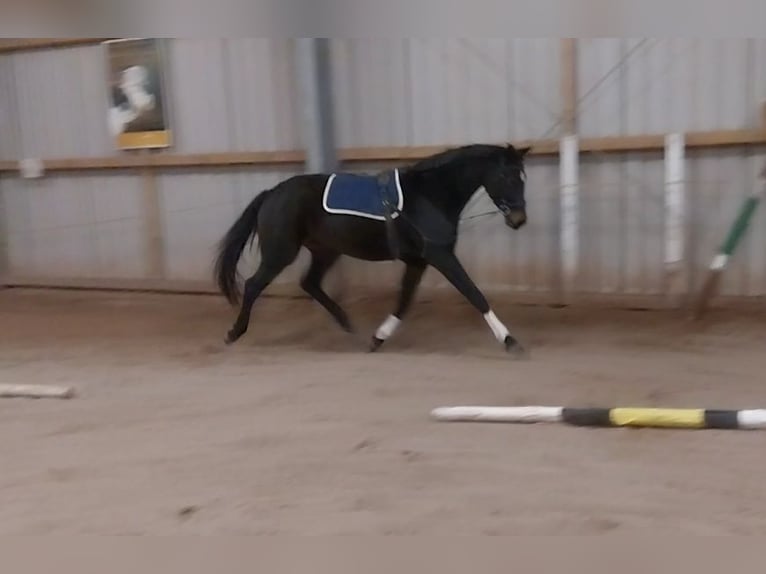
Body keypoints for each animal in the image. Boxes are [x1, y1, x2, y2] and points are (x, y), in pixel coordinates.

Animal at [214, 142, 531, 356]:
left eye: (522, 178)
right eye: (508, 177)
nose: (519, 220)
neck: (430, 195)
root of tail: (272, 194)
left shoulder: (418, 261)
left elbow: (404, 301)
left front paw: (377, 338)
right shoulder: (441, 256)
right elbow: (474, 294)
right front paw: (510, 341)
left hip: (325, 251)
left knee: (310, 283)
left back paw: (347, 323)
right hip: (281, 252)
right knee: (254, 284)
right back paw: (233, 333)